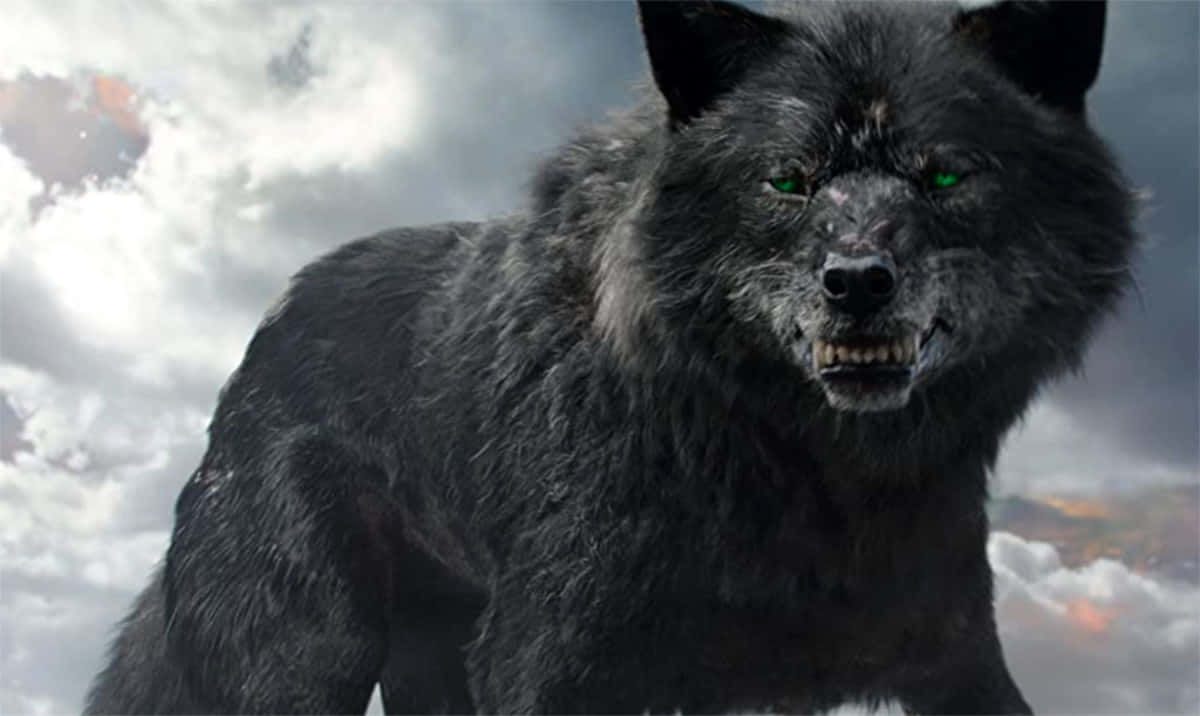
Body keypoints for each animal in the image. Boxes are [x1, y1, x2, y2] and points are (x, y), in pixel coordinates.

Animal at [86, 1, 1135, 714]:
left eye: (945, 174)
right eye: (789, 181)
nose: (856, 281)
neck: (807, 473)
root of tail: (266, 331)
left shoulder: (952, 653)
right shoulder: (552, 665)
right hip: (305, 662)